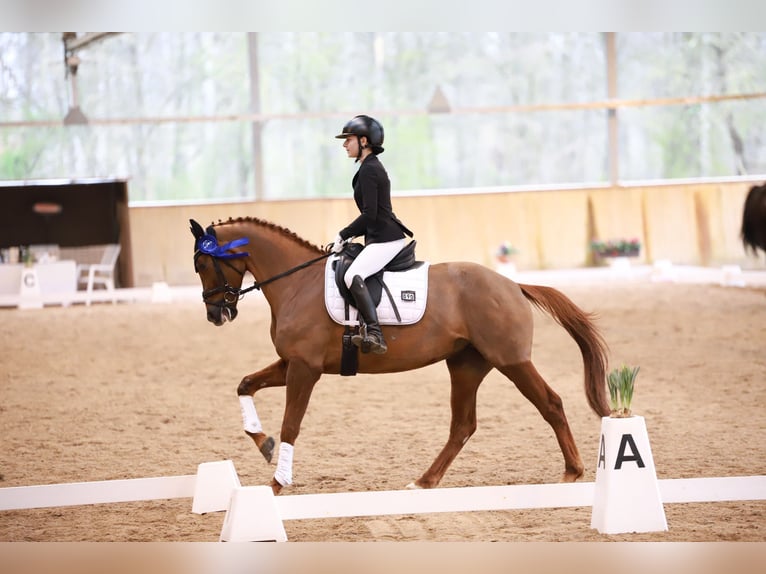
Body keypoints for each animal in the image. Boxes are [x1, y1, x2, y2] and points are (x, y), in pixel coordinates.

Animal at [188, 218, 612, 498]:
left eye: (204, 264)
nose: (215, 315)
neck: (296, 284)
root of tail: (512, 284)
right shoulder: (293, 363)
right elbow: (245, 384)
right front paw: (263, 444)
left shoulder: (305, 369)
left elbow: (291, 424)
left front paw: (278, 482)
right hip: (466, 365)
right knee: (463, 425)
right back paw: (425, 481)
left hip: (512, 361)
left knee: (551, 404)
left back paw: (571, 473)